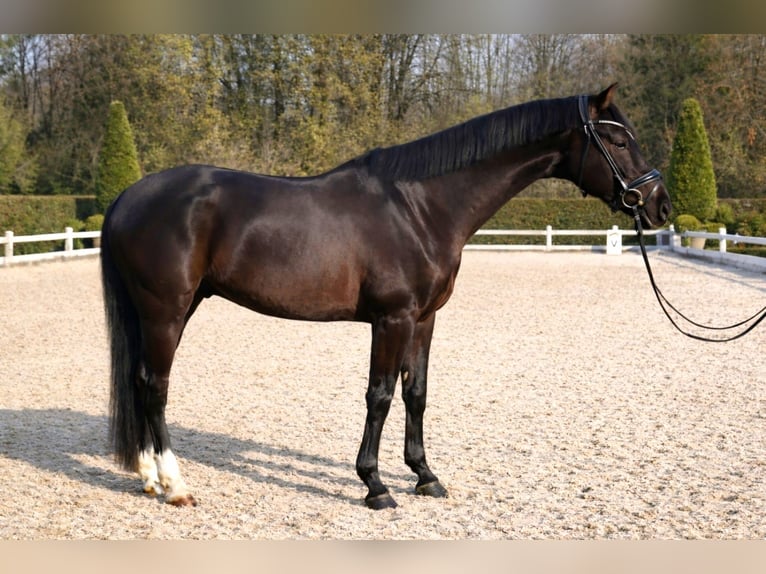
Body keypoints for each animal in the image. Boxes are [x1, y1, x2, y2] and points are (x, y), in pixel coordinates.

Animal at [100, 84, 671, 510]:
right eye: (618, 141)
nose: (660, 205)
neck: (419, 206)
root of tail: (127, 196)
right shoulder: (391, 319)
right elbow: (380, 396)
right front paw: (374, 485)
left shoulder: (423, 319)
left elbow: (416, 393)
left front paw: (424, 475)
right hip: (166, 310)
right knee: (155, 387)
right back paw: (176, 486)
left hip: (170, 310)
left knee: (139, 380)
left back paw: (149, 477)